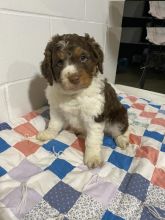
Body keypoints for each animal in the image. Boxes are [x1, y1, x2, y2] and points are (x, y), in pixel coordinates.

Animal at [37, 34, 129, 168]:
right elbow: (54, 124)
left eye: (83, 58)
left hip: (118, 116)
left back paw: (122, 139)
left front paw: (92, 157)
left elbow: (92, 140)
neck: (73, 95)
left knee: (121, 129)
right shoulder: (56, 110)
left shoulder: (94, 116)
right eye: (59, 63)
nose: (74, 78)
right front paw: (48, 133)